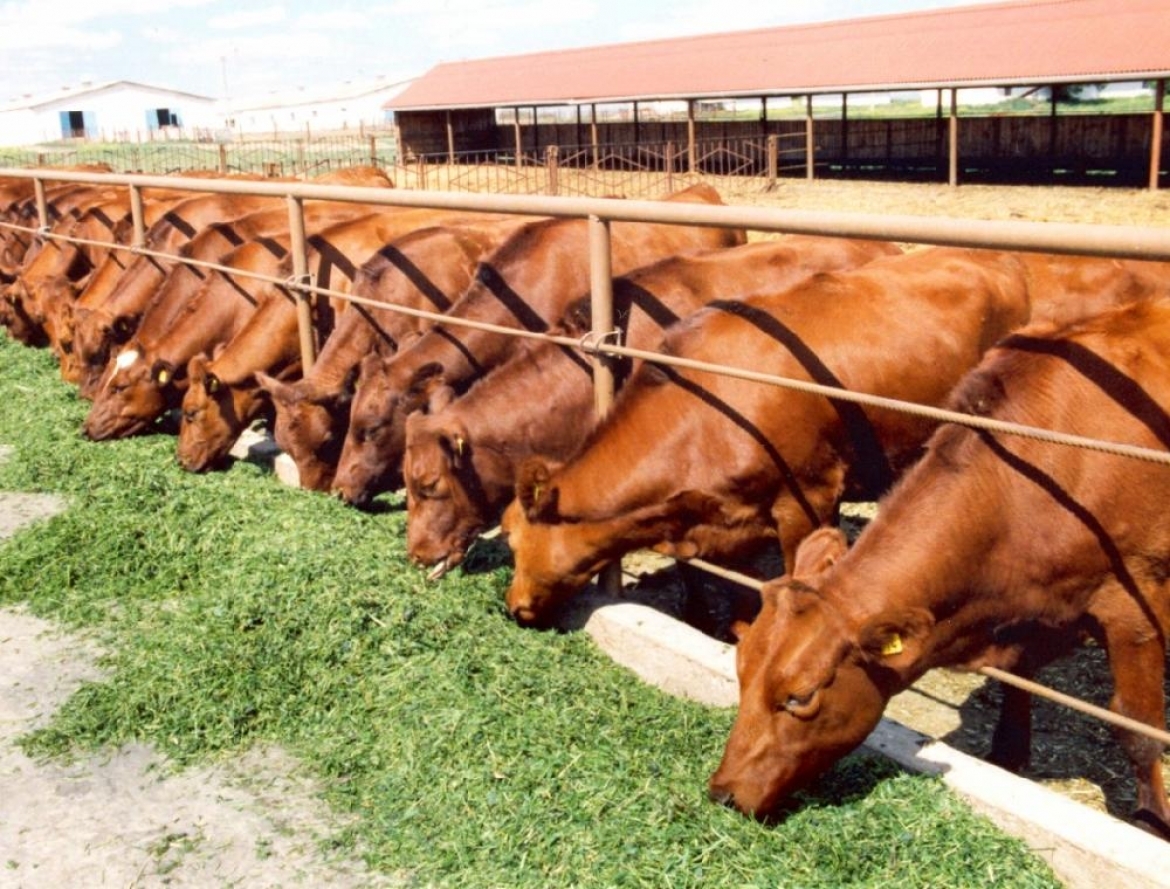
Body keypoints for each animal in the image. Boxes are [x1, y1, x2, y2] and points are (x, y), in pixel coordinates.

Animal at [706, 298, 1170, 842]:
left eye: (800, 698)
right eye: (741, 671)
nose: (724, 792)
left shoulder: (1135, 607)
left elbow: (1136, 727)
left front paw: (1153, 822)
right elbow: (1018, 678)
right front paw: (1008, 754)